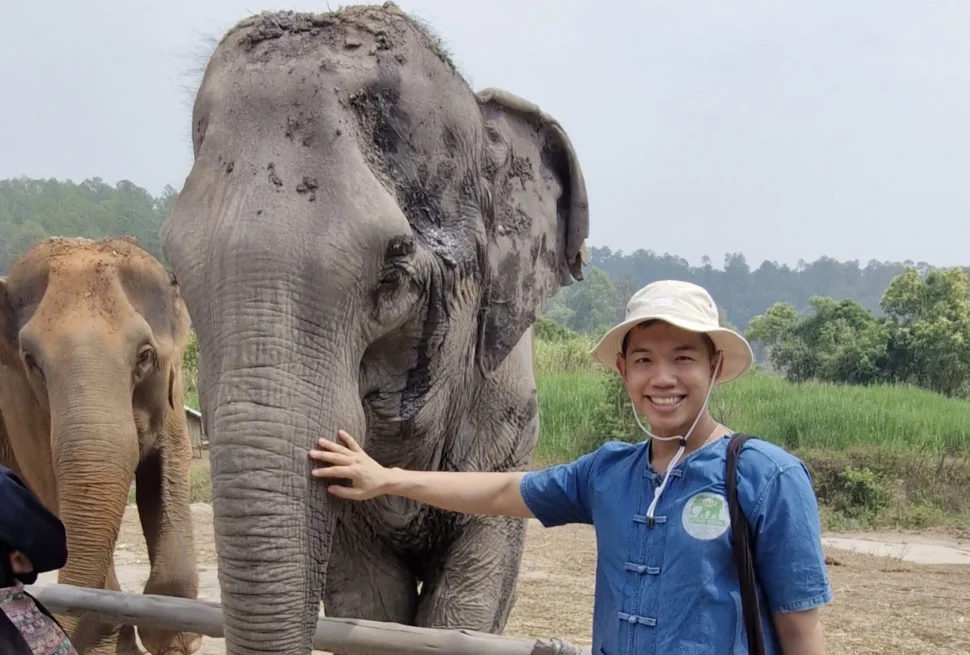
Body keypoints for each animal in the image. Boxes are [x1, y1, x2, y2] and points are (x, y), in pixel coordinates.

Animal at [0, 236, 203, 655]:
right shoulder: (17, 403)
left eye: (145, 355)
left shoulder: (172, 392)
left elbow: (168, 469)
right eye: (31, 360)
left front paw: (175, 637)